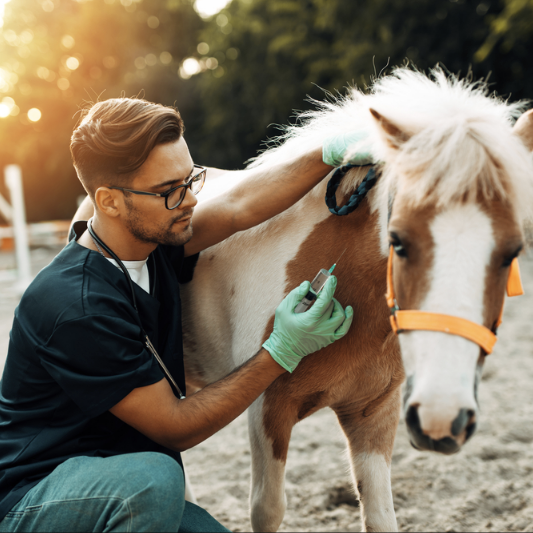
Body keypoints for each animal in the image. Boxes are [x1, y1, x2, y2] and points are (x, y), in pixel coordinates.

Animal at [181, 68, 532, 528]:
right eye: (397, 241)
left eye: (513, 252)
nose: (441, 416)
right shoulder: (266, 411)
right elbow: (267, 509)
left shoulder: (374, 414)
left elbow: (381, 516)